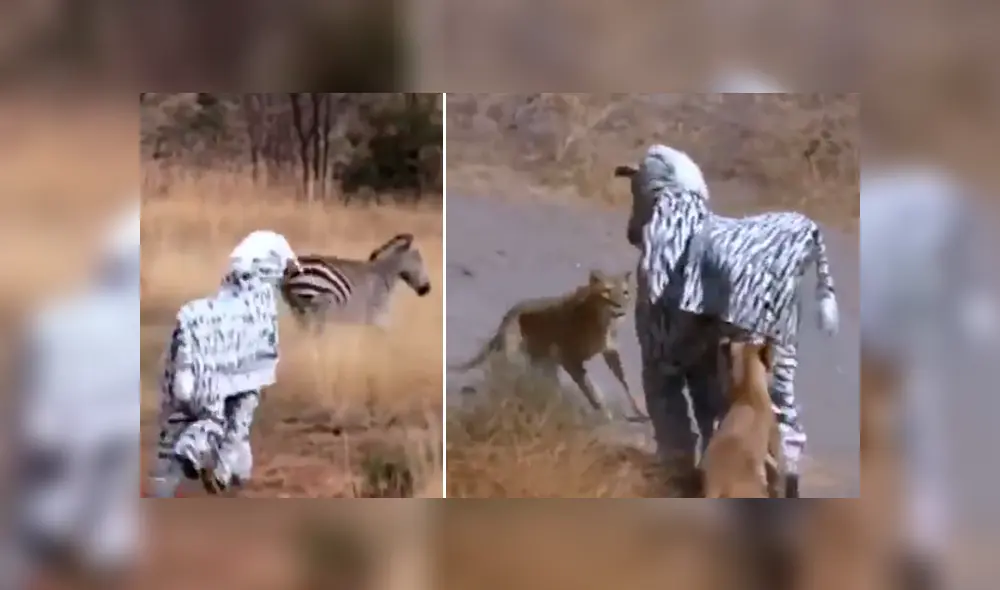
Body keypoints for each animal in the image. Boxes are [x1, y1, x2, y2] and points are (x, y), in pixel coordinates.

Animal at [280, 233, 432, 330]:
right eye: (418, 260)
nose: (427, 289)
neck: (383, 273)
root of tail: (291, 269)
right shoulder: (375, 316)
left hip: (298, 309)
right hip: (319, 306)